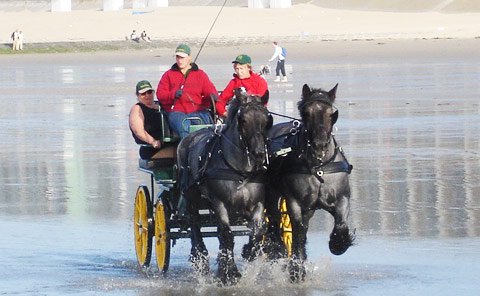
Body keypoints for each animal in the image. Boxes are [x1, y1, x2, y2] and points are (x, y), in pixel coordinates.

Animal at [177, 89, 274, 286]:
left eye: (268, 119)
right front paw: (228, 272)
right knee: (194, 223)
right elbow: (226, 234)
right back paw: (199, 256)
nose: (259, 153)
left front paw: (249, 251)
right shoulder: (219, 202)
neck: (240, 170)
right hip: (191, 196)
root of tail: (189, 137)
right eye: (243, 120)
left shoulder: (258, 203)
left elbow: (257, 233)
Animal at [264, 84, 354, 282]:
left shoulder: (342, 198)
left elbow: (341, 224)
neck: (318, 166)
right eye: (306, 113)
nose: (319, 145)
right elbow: (297, 234)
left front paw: (338, 243)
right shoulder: (295, 203)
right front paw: (295, 269)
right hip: (273, 196)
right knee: (275, 222)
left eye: (331, 113)